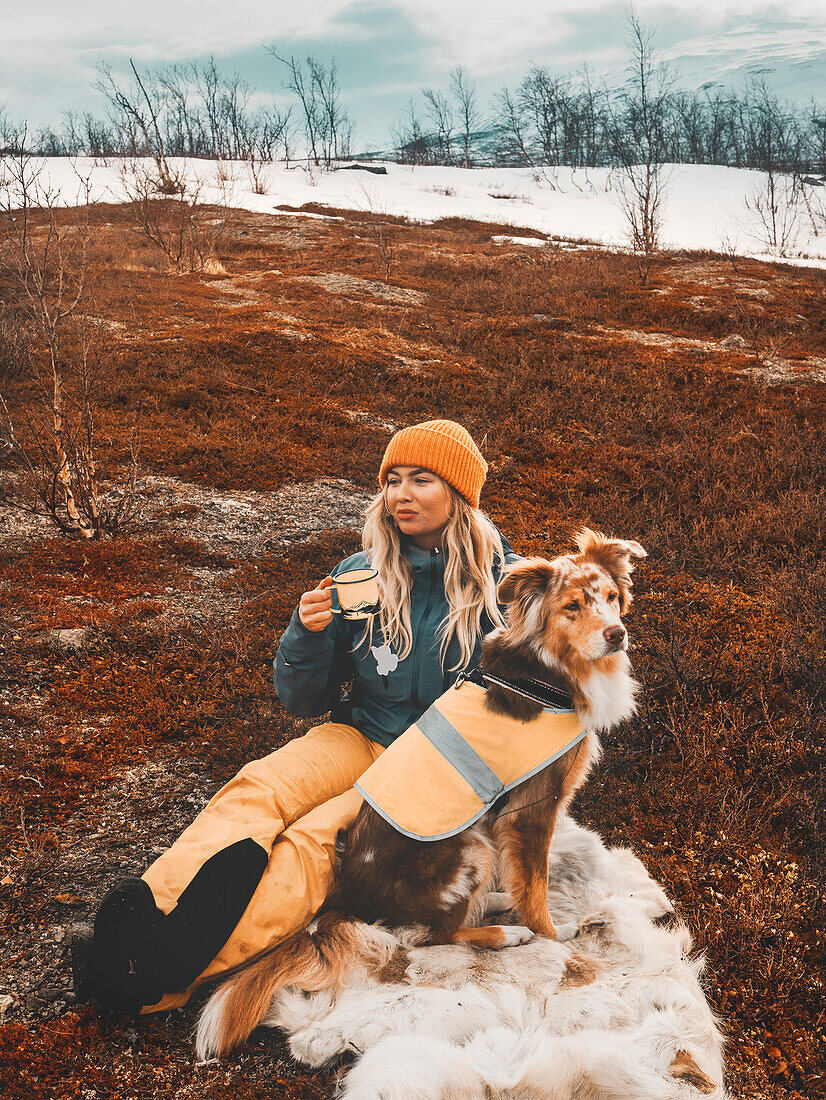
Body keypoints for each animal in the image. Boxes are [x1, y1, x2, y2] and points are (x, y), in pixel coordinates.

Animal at [193, 528, 646, 1060]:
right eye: (573, 606)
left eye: (612, 598)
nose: (616, 634)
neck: (545, 671)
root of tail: (345, 902)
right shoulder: (532, 810)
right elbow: (534, 888)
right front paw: (552, 933)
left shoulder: (508, 817)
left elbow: (522, 879)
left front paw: (521, 904)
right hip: (468, 849)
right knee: (436, 937)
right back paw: (506, 931)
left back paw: (494, 904)